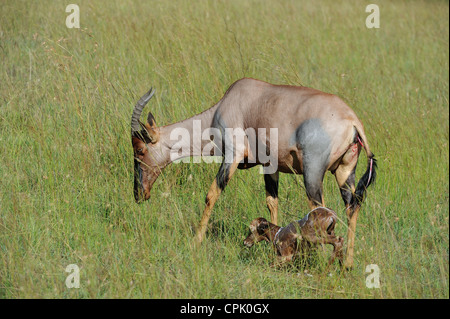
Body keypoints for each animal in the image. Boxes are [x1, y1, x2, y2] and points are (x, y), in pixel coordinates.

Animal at [131, 79, 376, 268]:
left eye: (140, 149)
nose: (139, 193)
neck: (229, 103)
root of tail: (353, 121)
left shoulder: (233, 155)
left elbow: (211, 194)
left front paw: (195, 242)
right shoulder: (270, 165)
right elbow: (272, 202)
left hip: (313, 172)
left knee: (319, 208)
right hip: (345, 172)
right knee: (352, 207)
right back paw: (347, 264)